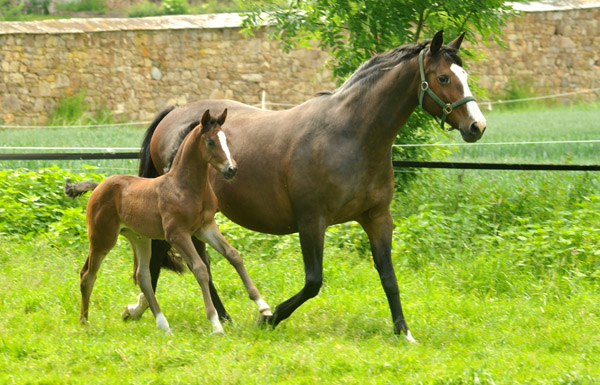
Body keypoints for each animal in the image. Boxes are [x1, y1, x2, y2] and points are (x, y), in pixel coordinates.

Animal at [78, 108, 270, 332]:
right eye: (211, 142)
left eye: (226, 140)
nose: (232, 169)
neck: (185, 187)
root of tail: (99, 186)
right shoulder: (177, 234)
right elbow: (200, 269)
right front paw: (216, 323)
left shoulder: (205, 227)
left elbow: (234, 255)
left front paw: (263, 306)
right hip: (102, 238)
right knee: (87, 275)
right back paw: (84, 323)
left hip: (140, 239)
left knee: (143, 277)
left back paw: (163, 325)